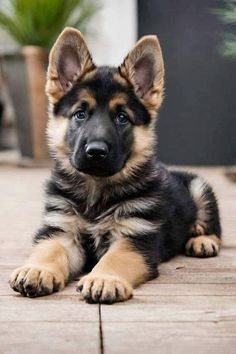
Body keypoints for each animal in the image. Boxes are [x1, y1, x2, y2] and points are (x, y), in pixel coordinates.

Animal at [9, 28, 221, 304]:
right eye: (80, 114)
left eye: (122, 118)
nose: (96, 152)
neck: (97, 191)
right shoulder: (61, 229)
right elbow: (49, 249)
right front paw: (37, 269)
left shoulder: (134, 238)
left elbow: (115, 258)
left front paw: (104, 278)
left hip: (199, 187)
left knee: (213, 225)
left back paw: (201, 238)